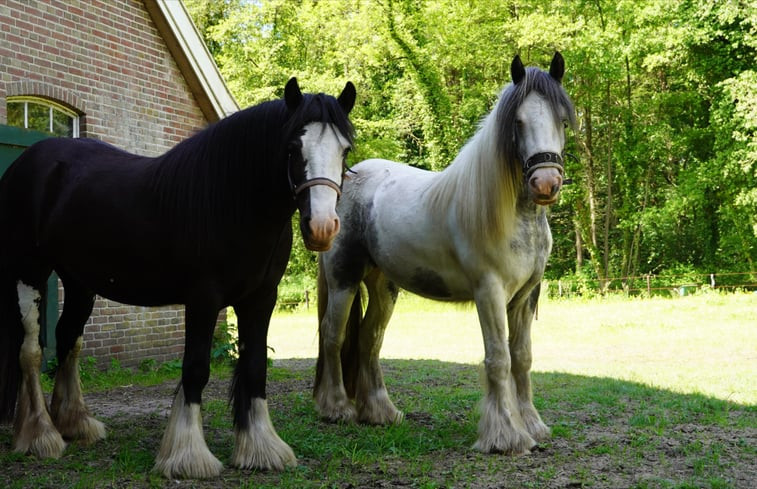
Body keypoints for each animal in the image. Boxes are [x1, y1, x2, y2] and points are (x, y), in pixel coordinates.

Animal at [0, 77, 356, 476]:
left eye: (345, 150)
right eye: (294, 147)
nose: (322, 228)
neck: (232, 201)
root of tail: (26, 163)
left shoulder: (261, 298)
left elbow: (254, 367)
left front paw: (261, 448)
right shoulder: (204, 298)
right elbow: (196, 368)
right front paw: (188, 455)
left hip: (79, 282)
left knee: (68, 339)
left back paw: (75, 423)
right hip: (28, 271)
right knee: (30, 351)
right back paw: (41, 435)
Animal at [314, 52, 572, 454]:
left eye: (561, 120)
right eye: (518, 122)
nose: (546, 184)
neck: (515, 218)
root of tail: (344, 181)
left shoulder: (525, 296)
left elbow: (522, 358)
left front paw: (533, 425)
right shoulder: (489, 292)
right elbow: (498, 358)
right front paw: (505, 435)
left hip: (384, 286)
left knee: (370, 339)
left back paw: (380, 412)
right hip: (344, 279)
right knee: (333, 335)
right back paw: (337, 408)